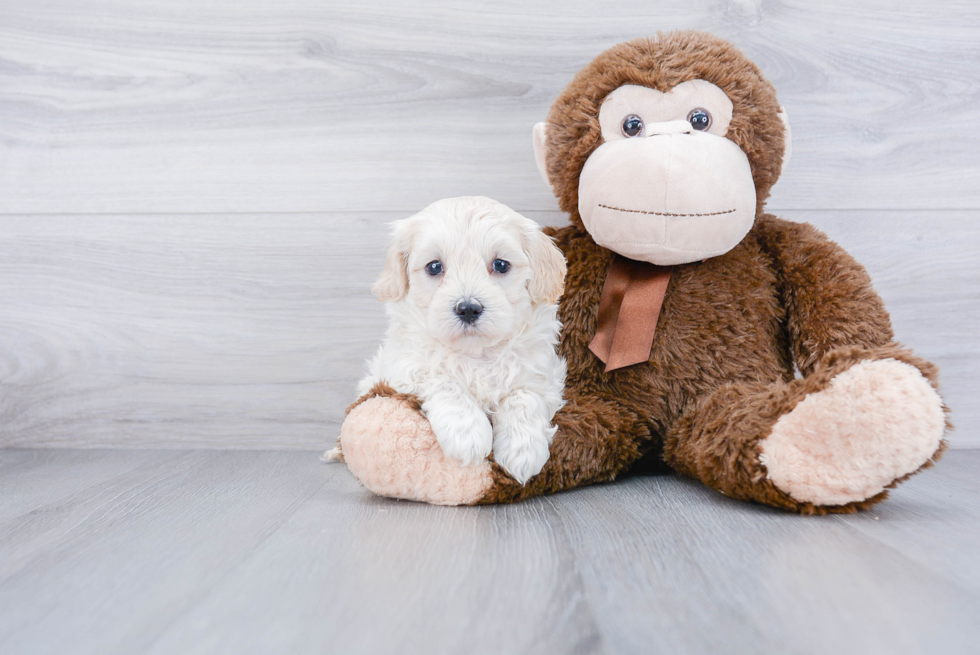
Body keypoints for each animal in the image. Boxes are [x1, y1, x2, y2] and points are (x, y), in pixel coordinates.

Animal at [334, 197, 568, 484]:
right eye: (434, 267)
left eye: (501, 265)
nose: (468, 308)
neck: (476, 354)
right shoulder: (403, 369)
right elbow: (443, 380)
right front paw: (468, 436)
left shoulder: (543, 375)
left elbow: (524, 396)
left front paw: (523, 450)